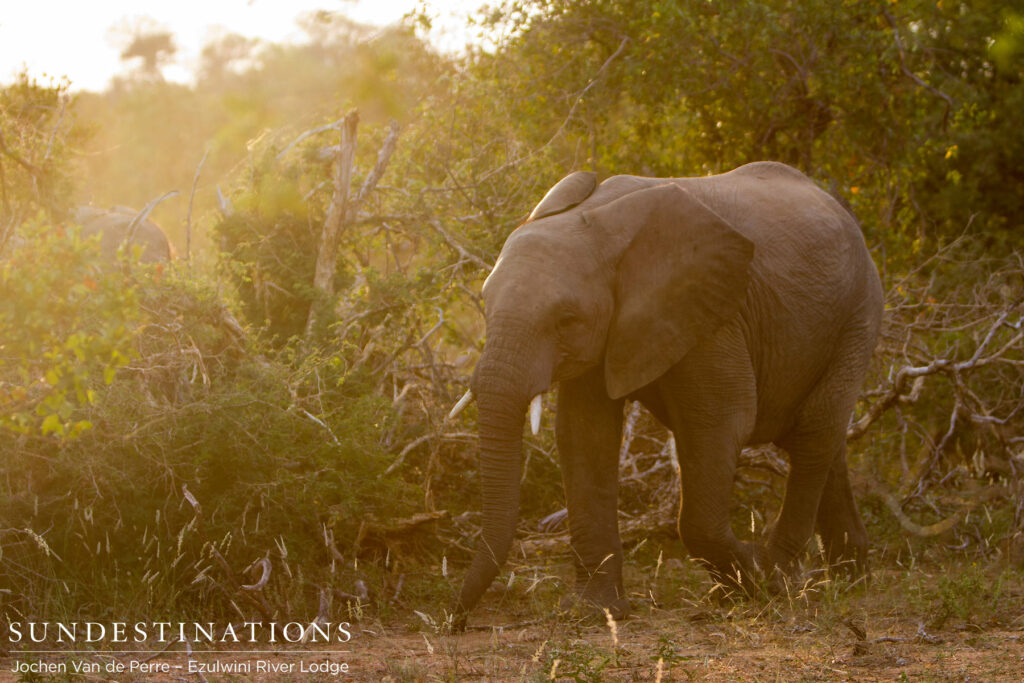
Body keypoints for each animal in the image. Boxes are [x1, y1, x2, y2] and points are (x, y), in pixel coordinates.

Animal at [449, 161, 883, 628]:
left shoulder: (715, 316)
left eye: (566, 319)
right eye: (485, 305)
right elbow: (584, 434)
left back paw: (781, 579)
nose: (456, 620)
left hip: (859, 314)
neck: (598, 220)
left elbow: (721, 424)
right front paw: (596, 611)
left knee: (814, 433)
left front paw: (749, 581)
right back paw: (851, 578)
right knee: (824, 439)